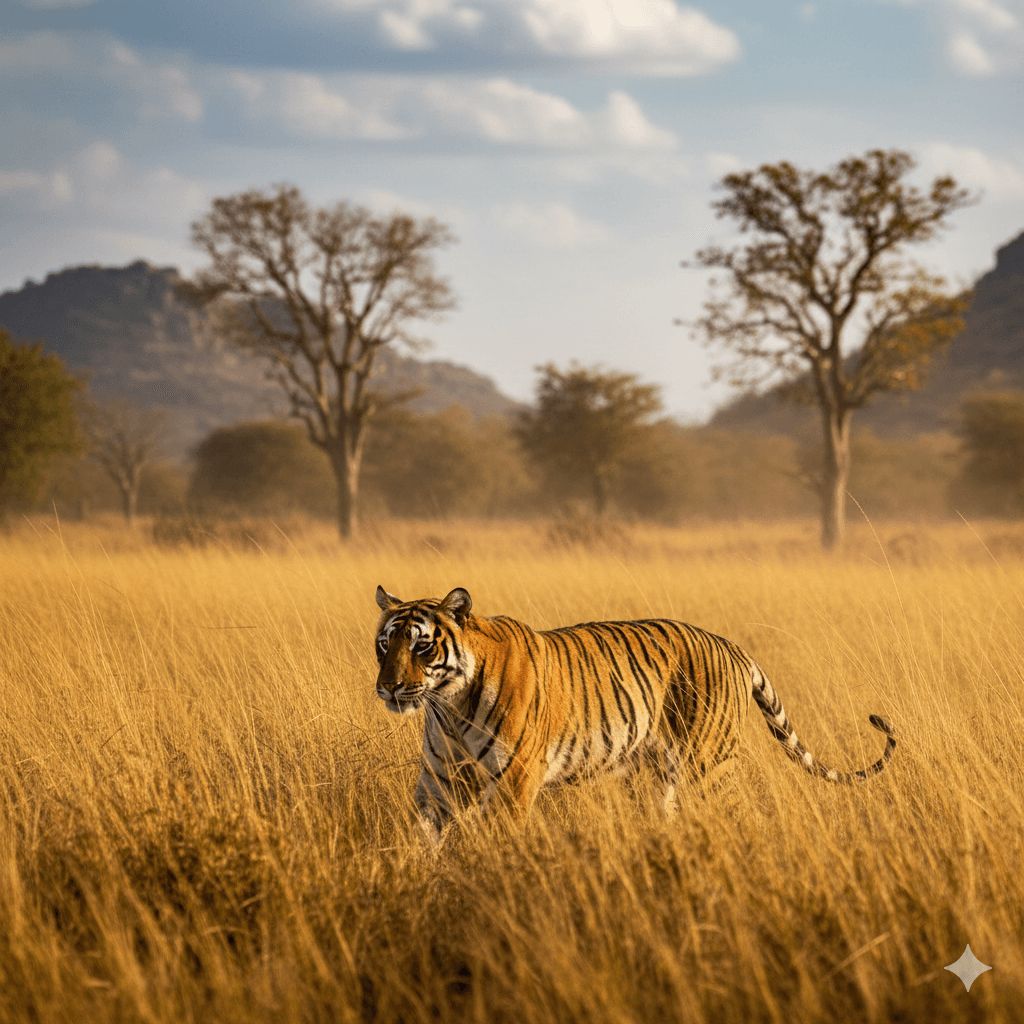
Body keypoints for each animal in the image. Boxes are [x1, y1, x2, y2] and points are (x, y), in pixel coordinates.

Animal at [373, 585, 896, 841]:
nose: (388, 687)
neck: (448, 705)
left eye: (422, 646)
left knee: (738, 815)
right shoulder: (438, 783)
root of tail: (731, 646)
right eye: (385, 644)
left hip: (708, 767)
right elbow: (424, 838)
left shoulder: (514, 781)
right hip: (657, 774)